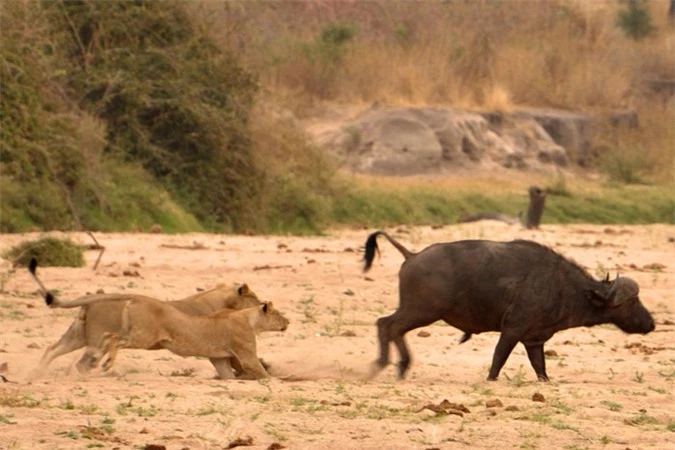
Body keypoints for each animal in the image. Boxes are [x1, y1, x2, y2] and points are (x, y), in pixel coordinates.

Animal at [364, 230, 656, 382]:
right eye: (633, 300)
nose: (652, 324)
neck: (563, 286)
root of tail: (412, 256)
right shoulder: (513, 330)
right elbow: (498, 358)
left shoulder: (534, 340)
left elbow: (540, 367)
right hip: (423, 310)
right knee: (387, 325)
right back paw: (385, 364)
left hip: (419, 311)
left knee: (391, 327)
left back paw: (399, 366)